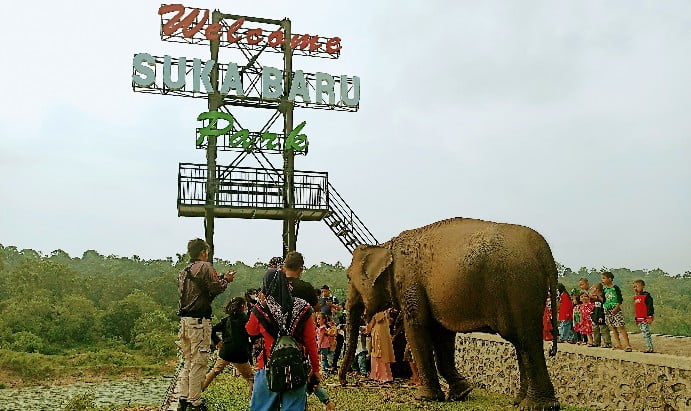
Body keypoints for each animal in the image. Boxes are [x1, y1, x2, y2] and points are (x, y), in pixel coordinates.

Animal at [340, 217, 564, 410]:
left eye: (348, 278)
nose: (345, 383)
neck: (386, 245)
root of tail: (543, 249)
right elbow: (442, 335)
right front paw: (462, 393)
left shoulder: (410, 284)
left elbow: (417, 328)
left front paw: (425, 398)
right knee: (521, 342)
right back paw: (519, 402)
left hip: (518, 286)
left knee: (526, 340)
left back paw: (537, 406)